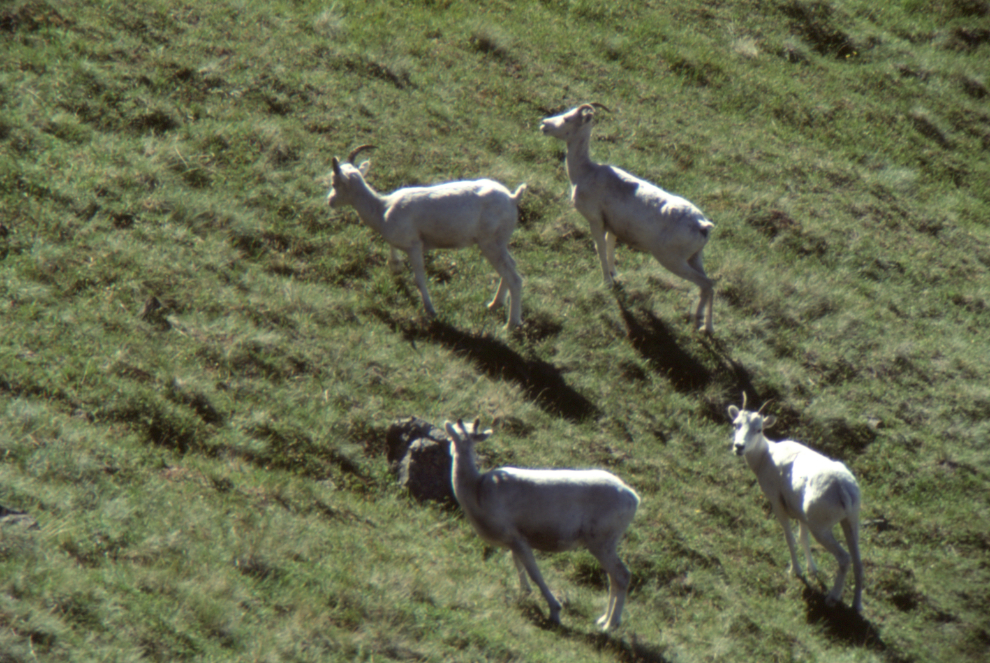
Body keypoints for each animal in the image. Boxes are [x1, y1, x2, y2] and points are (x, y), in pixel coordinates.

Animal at [326, 145, 526, 328]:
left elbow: (419, 279)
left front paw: (430, 310)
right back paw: (494, 305)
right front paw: (395, 267)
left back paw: (510, 325)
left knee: (514, 278)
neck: (382, 208)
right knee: (510, 267)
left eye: (335, 182)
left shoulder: (414, 247)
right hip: (499, 244)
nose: (330, 201)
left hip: (489, 244)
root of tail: (512, 198)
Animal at [444, 418, 640, 630]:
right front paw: (524, 594)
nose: (450, 451)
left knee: (622, 575)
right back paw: (602, 619)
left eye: (452, 436)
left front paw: (555, 612)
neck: (477, 492)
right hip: (606, 543)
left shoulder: (515, 536)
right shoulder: (514, 539)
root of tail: (634, 498)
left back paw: (609, 626)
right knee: (613, 577)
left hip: (601, 541)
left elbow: (534, 572)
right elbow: (518, 564)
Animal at [540, 104, 715, 333]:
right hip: (695, 258)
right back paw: (703, 327)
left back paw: (701, 327)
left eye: (568, 118)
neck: (585, 173)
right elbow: (610, 249)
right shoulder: (612, 228)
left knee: (706, 284)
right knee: (709, 285)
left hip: (673, 260)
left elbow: (600, 249)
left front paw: (606, 282)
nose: (544, 124)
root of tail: (702, 225)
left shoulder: (596, 222)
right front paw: (614, 276)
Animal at [727, 398, 864, 612]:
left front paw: (796, 571)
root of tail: (842, 487)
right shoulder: (801, 516)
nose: (739, 447)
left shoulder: (778, 504)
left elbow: (790, 538)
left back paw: (832, 598)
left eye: (758, 429)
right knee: (858, 561)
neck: (765, 456)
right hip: (850, 522)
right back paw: (856, 606)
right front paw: (812, 570)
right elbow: (802, 539)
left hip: (821, 529)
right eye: (736, 424)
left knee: (844, 558)